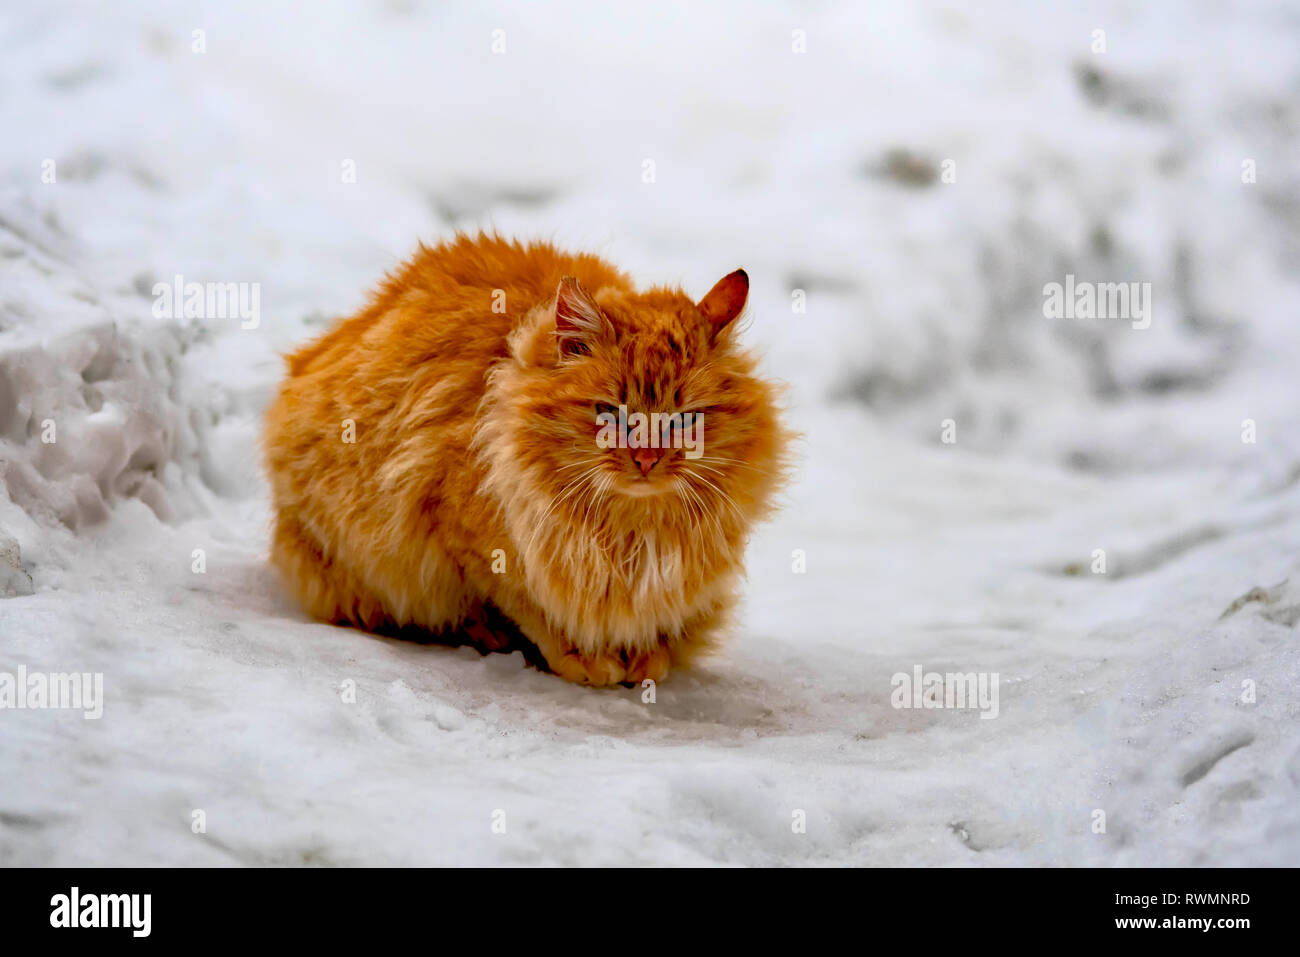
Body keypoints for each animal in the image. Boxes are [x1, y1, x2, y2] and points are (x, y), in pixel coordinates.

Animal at [262, 234, 785, 686]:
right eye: (610, 413)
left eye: (683, 420)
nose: (645, 459)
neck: (631, 532)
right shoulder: (467, 539)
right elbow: (532, 610)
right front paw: (584, 658)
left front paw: (645, 656)